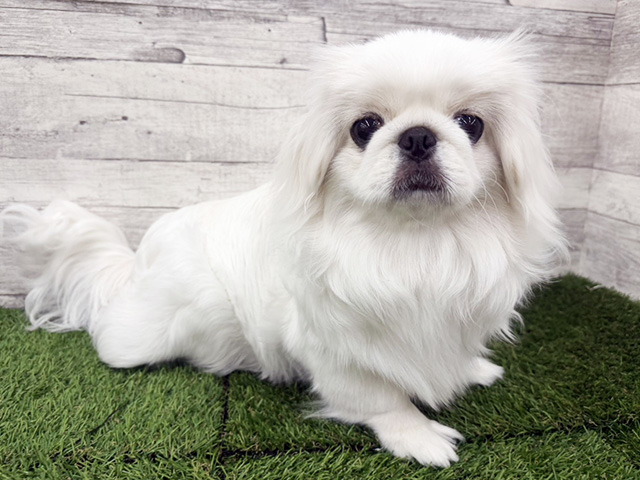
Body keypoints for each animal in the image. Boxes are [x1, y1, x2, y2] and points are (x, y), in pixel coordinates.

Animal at [1, 30, 567, 467]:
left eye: (471, 124)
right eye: (365, 128)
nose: (418, 136)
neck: (416, 243)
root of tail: (137, 261)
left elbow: (454, 354)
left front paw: (472, 368)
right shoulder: (333, 348)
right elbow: (381, 399)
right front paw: (419, 438)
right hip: (140, 335)